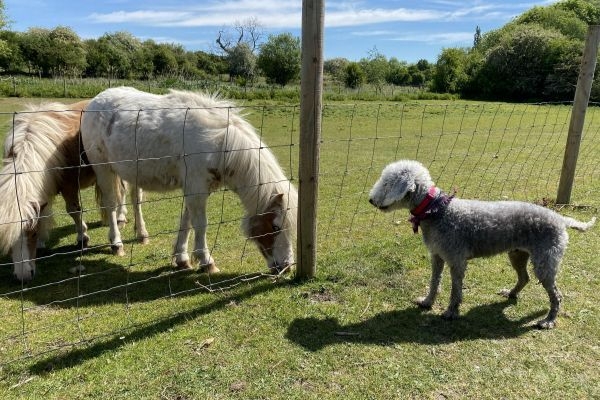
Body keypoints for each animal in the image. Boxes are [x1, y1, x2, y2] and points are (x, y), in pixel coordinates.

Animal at [82, 87, 298, 274]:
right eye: (276, 227)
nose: (287, 267)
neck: (220, 144)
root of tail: (97, 99)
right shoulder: (196, 188)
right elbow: (200, 224)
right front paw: (206, 261)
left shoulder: (196, 188)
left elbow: (186, 222)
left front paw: (182, 258)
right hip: (103, 168)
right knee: (110, 204)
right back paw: (116, 244)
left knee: (135, 201)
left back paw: (142, 234)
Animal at [370, 159, 596, 328]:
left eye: (387, 183)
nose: (371, 200)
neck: (437, 210)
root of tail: (561, 219)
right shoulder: (436, 256)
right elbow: (434, 282)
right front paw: (427, 302)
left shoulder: (456, 260)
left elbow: (455, 290)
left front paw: (451, 312)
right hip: (517, 254)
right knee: (524, 278)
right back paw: (511, 293)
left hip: (545, 262)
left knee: (557, 295)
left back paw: (548, 321)